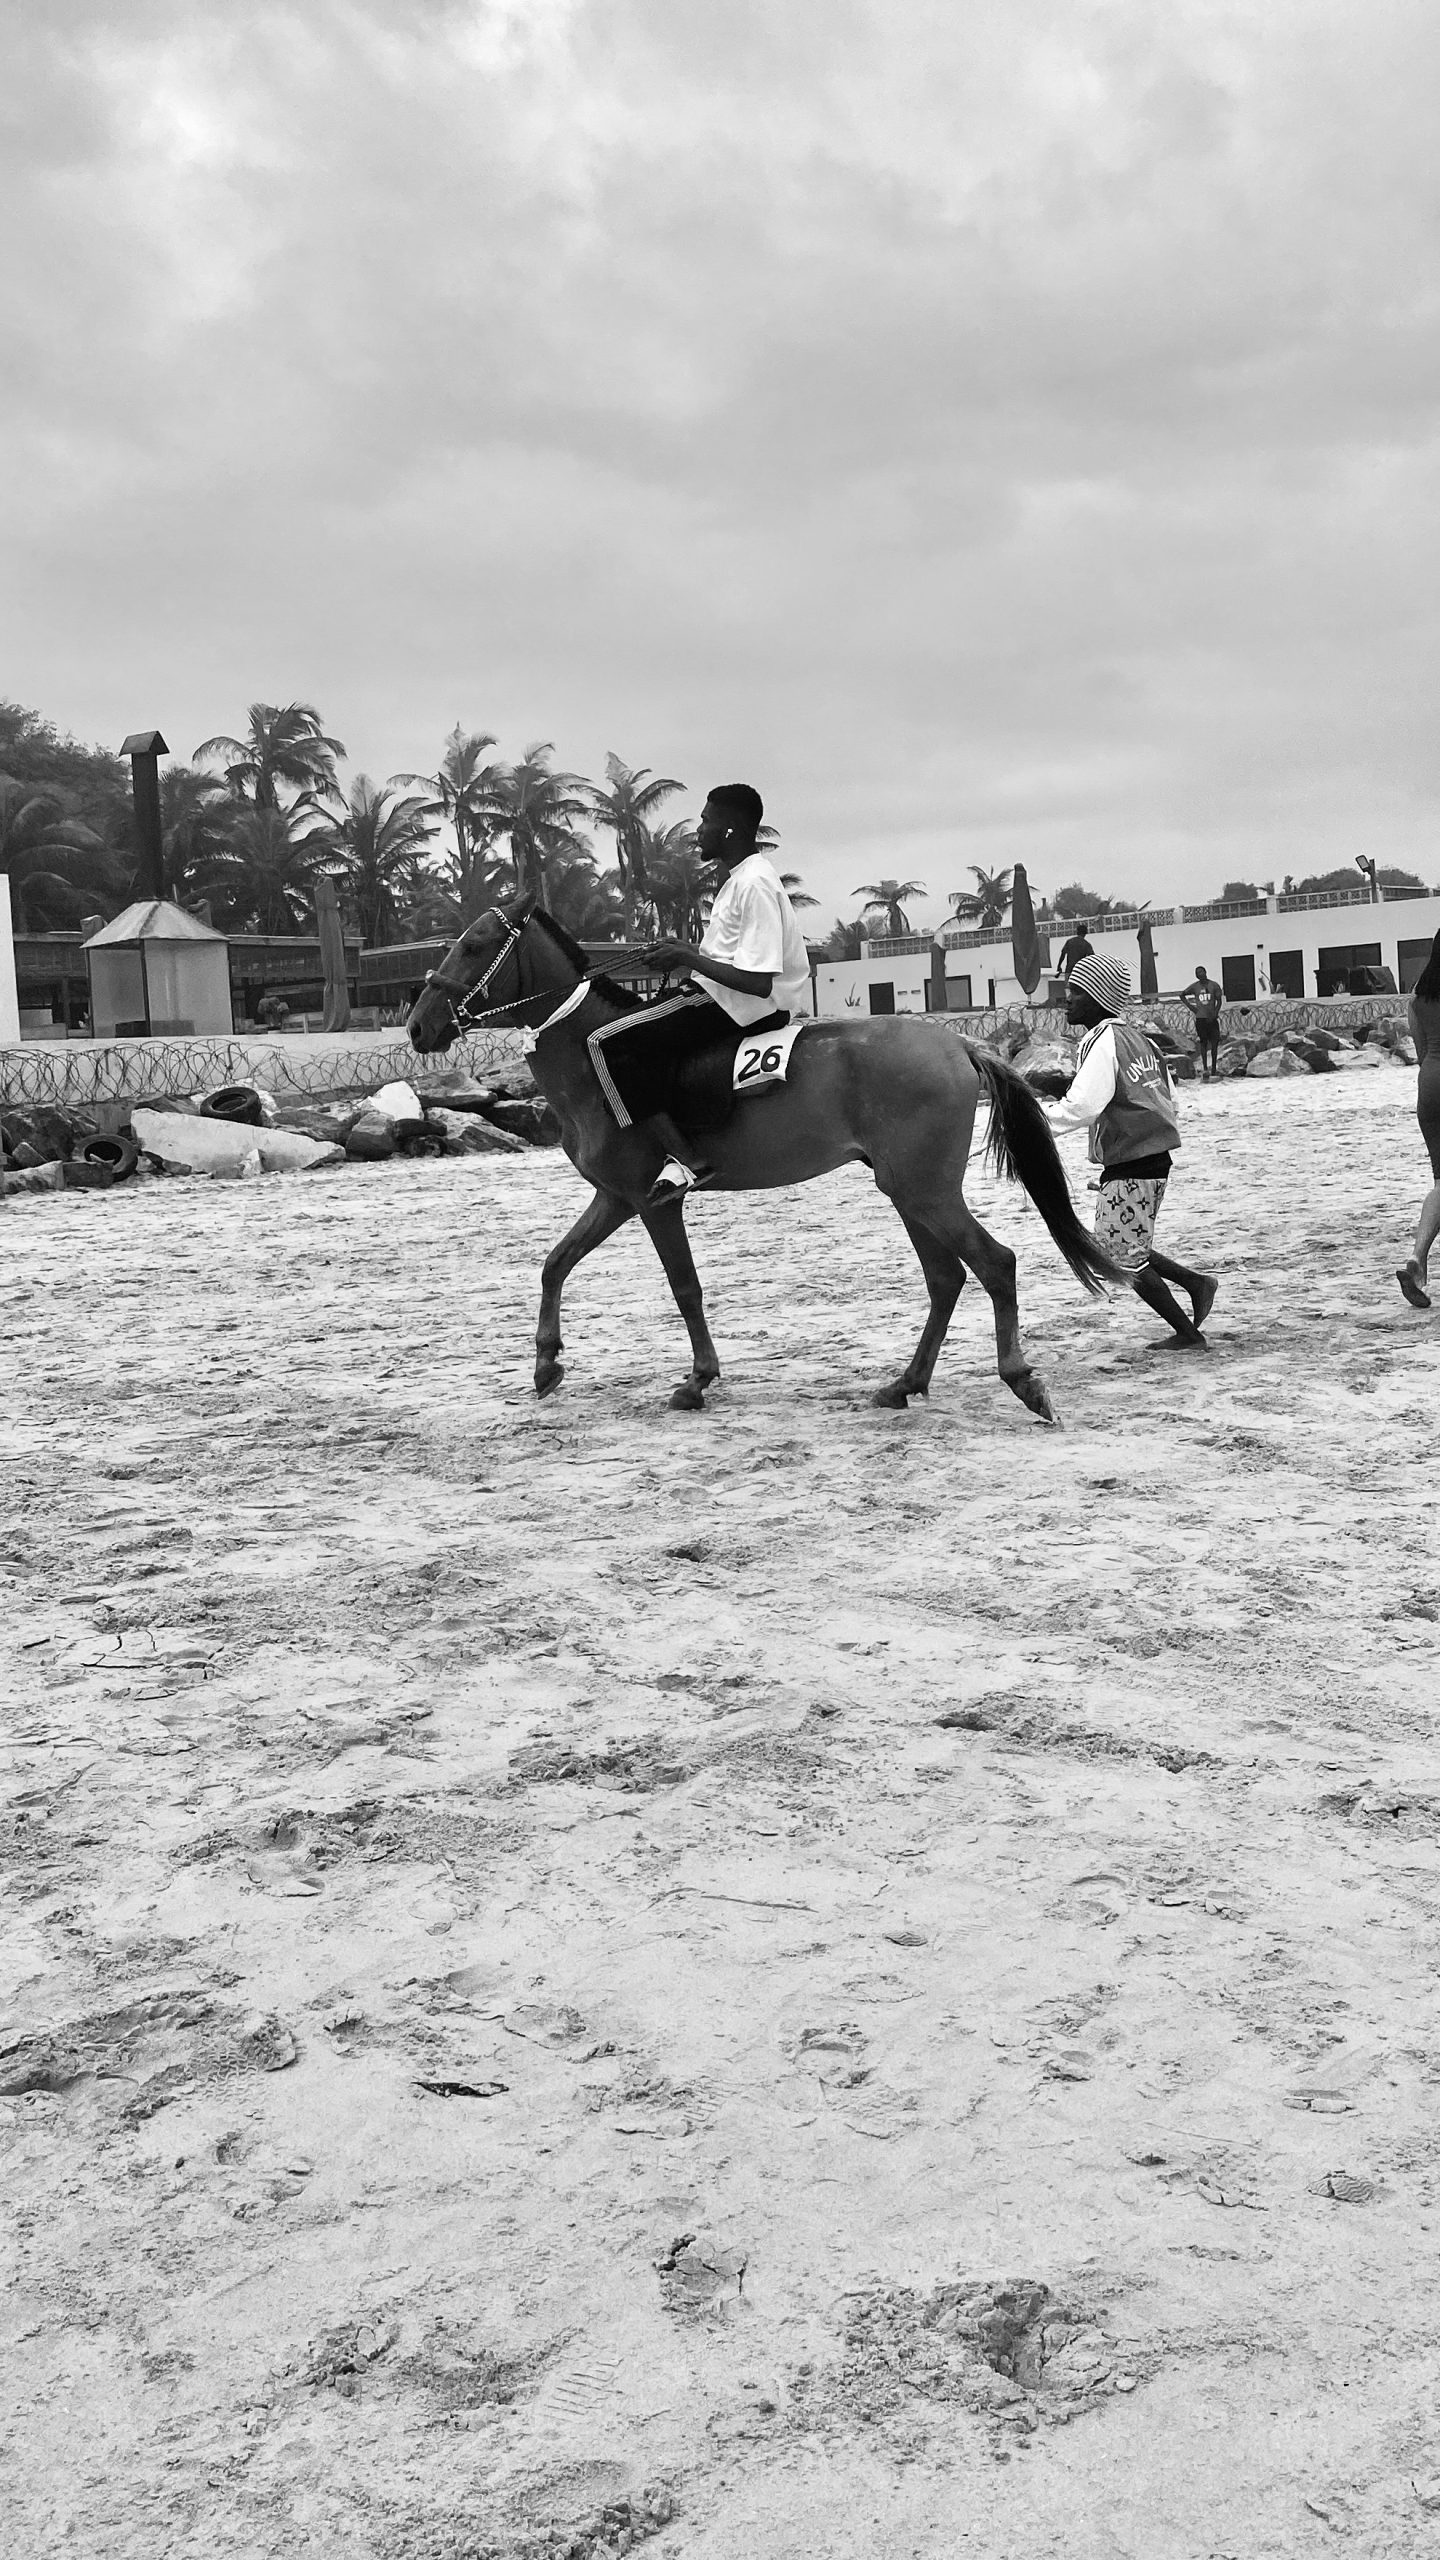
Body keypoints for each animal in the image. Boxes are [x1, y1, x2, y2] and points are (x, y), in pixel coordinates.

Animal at [407, 896, 1122, 1423]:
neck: (590, 1054)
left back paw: (1020, 1380)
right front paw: (546, 1362)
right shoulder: (614, 1197)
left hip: (926, 1192)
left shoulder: (650, 1201)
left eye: (474, 945)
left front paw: (698, 1380)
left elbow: (684, 1286)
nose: (418, 1027)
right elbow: (555, 1264)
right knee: (946, 1278)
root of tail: (958, 1046)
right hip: (907, 1190)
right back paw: (905, 1383)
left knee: (994, 1264)